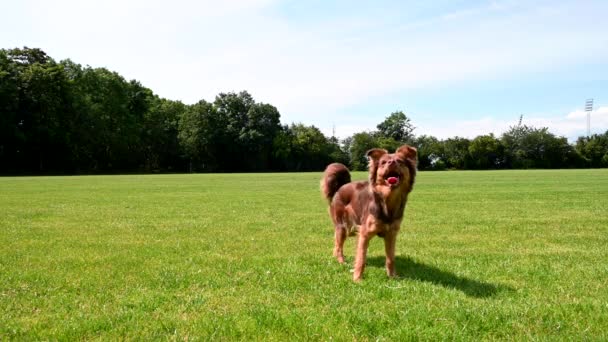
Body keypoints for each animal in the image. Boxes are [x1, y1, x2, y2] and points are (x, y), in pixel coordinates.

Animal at [320, 144, 416, 280]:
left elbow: (390, 258)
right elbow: (361, 258)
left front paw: (393, 277)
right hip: (343, 226)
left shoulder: (391, 234)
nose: (391, 162)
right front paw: (357, 279)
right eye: (383, 162)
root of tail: (340, 187)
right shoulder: (364, 233)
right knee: (339, 246)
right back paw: (341, 261)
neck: (387, 199)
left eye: (400, 161)